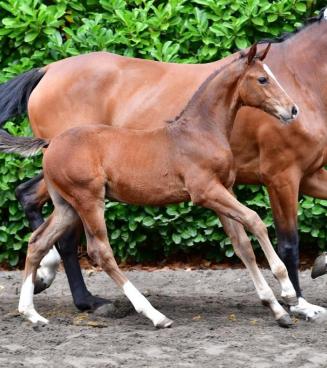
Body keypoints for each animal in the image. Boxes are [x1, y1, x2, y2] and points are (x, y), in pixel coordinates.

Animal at [1, 7, 327, 320]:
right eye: (262, 79)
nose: (292, 110)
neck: (199, 129)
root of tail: (48, 69)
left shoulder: (247, 185)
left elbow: (243, 243)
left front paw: (280, 302)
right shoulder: (264, 178)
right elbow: (272, 231)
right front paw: (295, 300)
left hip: (68, 204)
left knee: (38, 235)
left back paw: (37, 307)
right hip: (89, 200)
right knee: (95, 248)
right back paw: (141, 311)